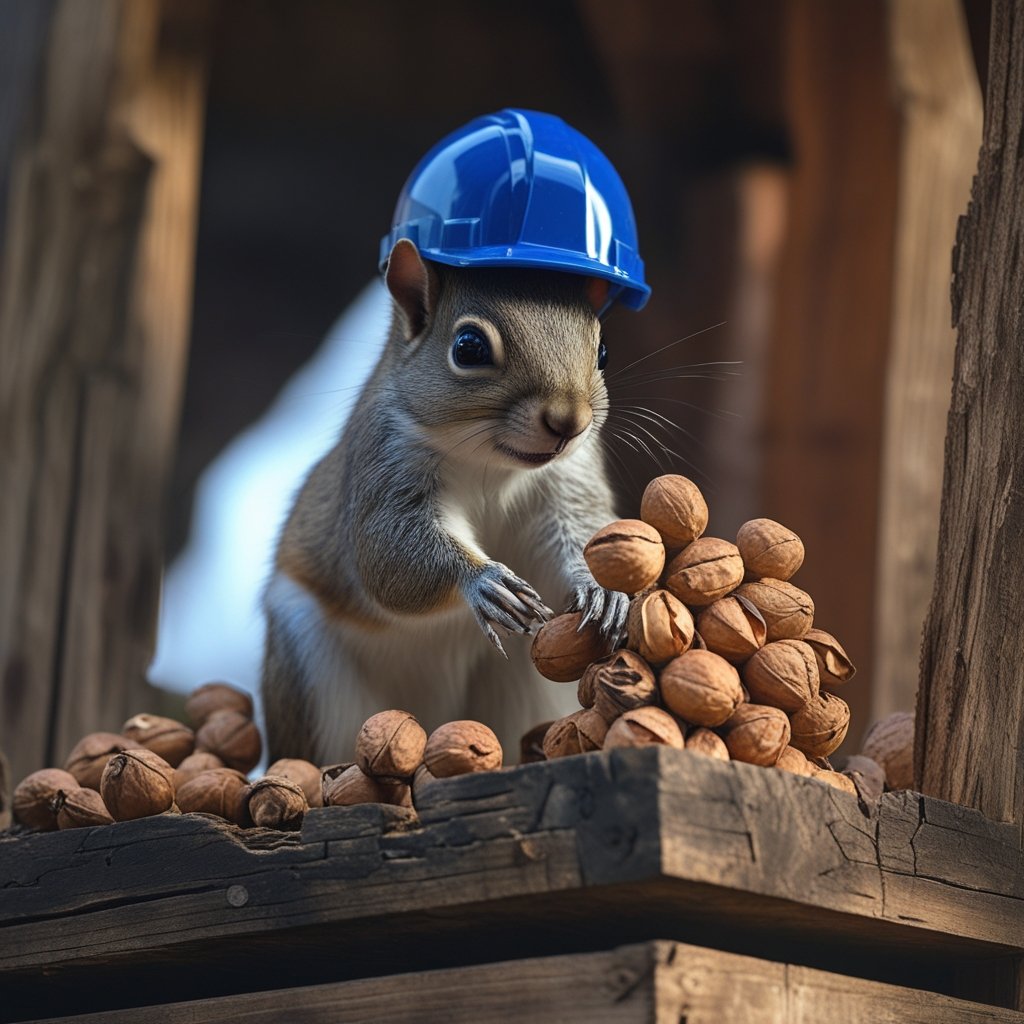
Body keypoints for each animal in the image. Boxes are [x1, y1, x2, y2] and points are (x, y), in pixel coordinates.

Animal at [260, 108, 651, 765]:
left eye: (602, 350)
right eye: (468, 348)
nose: (568, 421)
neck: (495, 466)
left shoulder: (567, 482)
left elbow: (580, 535)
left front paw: (602, 588)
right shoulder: (383, 466)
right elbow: (387, 554)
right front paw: (483, 581)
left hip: (518, 685)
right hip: (309, 668)